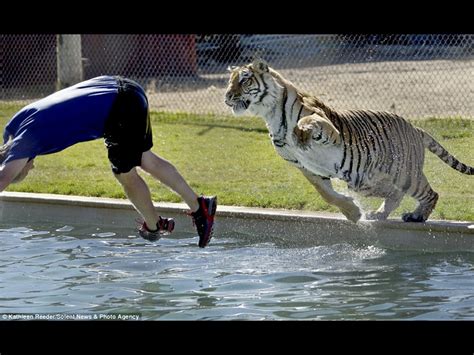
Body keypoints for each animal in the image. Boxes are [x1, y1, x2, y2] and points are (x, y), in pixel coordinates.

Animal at [224, 58, 472, 224]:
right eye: (230, 82)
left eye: (244, 81)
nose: (227, 96)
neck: (270, 114)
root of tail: (415, 127)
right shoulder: (304, 166)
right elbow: (327, 194)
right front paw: (353, 213)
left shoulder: (326, 127)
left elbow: (308, 120)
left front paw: (301, 134)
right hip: (365, 181)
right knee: (394, 193)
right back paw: (378, 214)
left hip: (405, 174)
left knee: (429, 193)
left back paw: (417, 216)